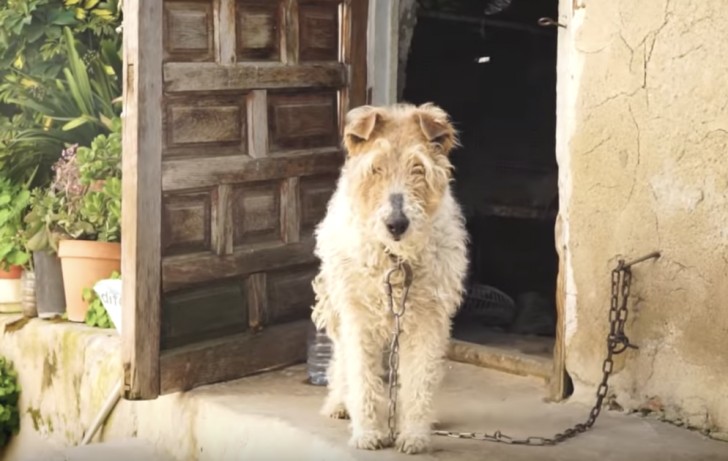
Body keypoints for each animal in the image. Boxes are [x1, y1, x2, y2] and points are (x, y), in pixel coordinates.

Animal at [310, 101, 470, 452]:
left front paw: (414, 435)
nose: (396, 224)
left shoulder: (428, 319)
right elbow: (362, 378)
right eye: (376, 168)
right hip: (336, 307)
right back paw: (339, 403)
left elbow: (420, 380)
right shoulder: (357, 318)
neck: (395, 260)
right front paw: (368, 433)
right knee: (340, 362)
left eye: (419, 168)